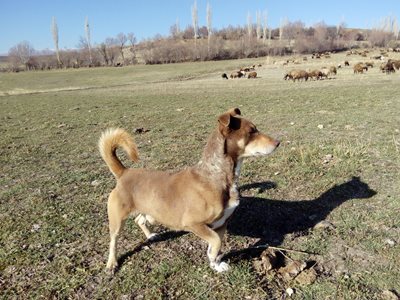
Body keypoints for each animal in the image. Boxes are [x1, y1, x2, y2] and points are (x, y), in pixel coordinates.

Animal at [99, 108, 280, 272]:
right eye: (251, 131)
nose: (278, 142)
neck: (216, 174)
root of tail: (124, 172)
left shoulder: (222, 224)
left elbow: (216, 245)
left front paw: (215, 264)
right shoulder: (194, 223)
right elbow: (216, 241)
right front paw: (213, 259)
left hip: (153, 212)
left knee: (140, 219)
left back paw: (150, 235)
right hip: (117, 219)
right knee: (113, 240)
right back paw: (111, 263)